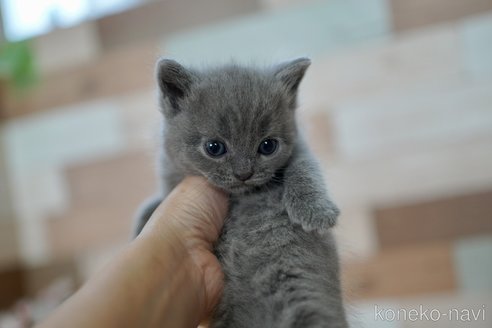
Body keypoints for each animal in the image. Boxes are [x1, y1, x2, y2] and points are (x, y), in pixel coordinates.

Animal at [135, 57, 348, 326]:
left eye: (268, 146)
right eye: (214, 147)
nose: (244, 173)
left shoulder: (299, 148)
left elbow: (305, 166)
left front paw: (315, 210)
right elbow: (155, 204)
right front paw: (141, 226)